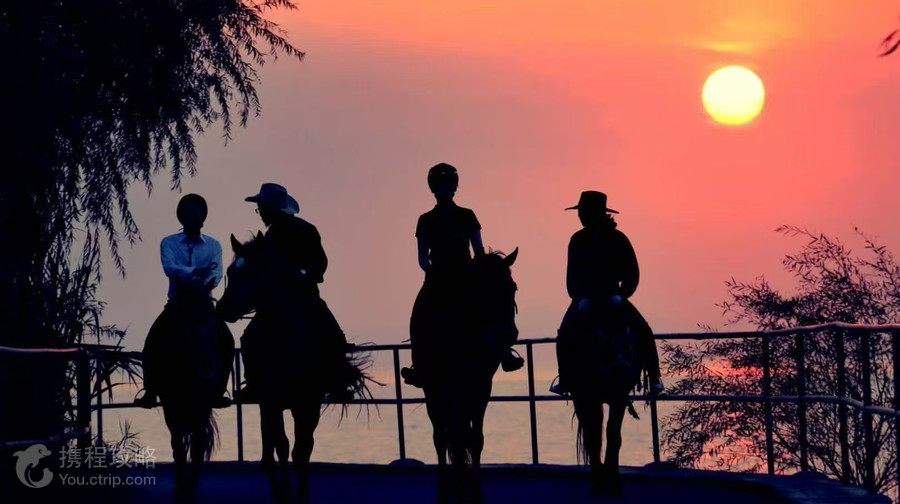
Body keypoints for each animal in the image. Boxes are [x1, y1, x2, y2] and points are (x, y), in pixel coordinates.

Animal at [216, 232, 370, 503]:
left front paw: (301, 494)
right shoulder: (270, 402)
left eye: (251, 272)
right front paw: (283, 493)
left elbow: (301, 451)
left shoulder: (307, 404)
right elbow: (281, 449)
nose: (221, 309)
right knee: (272, 451)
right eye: (231, 272)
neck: (282, 339)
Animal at [412, 248, 519, 503]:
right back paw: (447, 484)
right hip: (437, 390)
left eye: (513, 287)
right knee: (443, 435)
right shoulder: (443, 389)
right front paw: (451, 487)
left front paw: (476, 488)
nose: (508, 333)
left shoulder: (481, 387)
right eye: (484, 289)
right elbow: (448, 436)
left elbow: (475, 437)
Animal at [559, 300, 645, 495]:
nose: (621, 370)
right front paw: (598, 481)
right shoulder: (584, 397)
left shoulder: (619, 398)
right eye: (605, 350)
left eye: (629, 346)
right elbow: (593, 436)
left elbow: (614, 435)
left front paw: (613, 479)